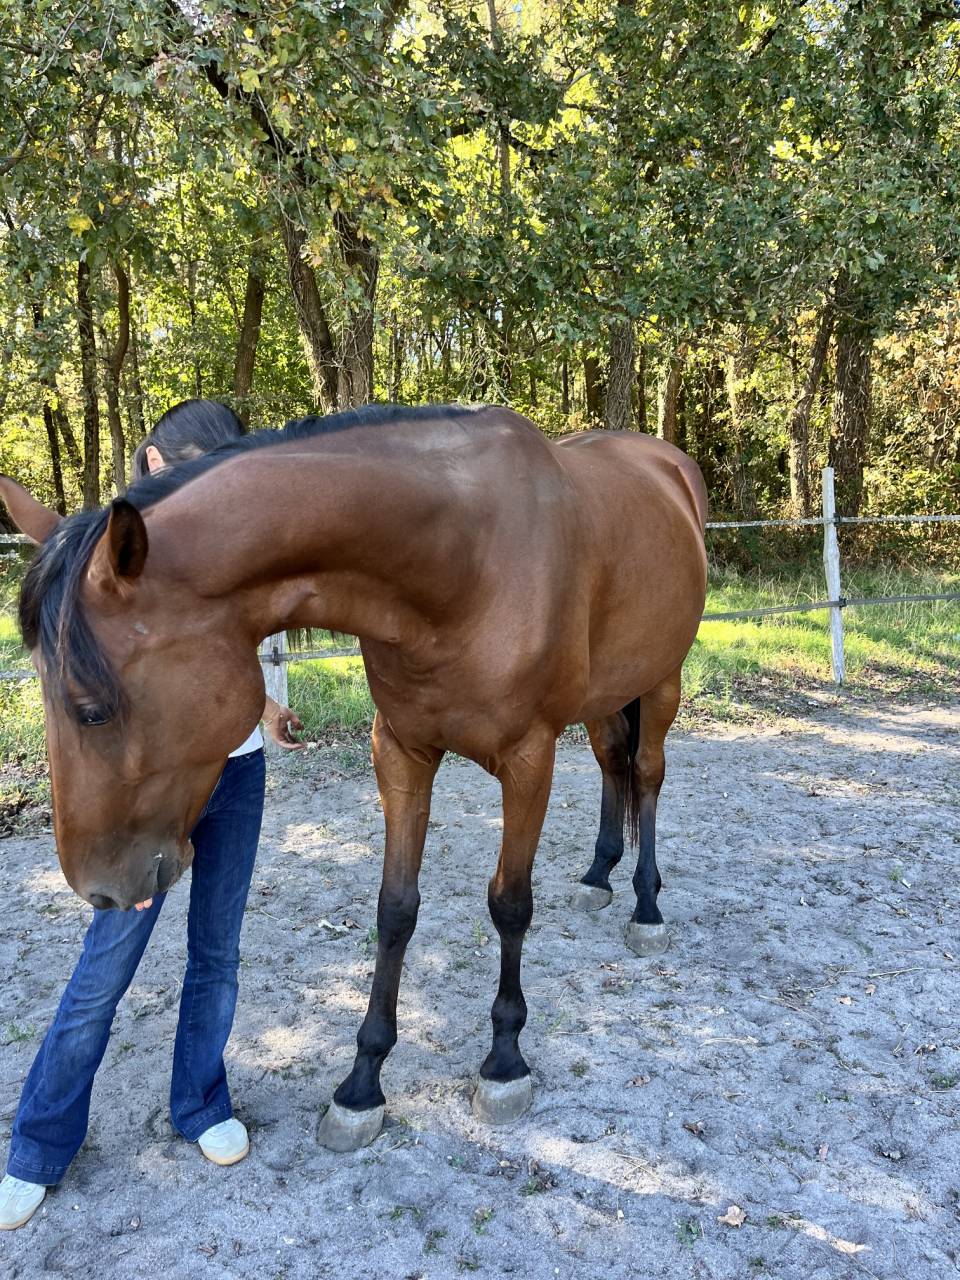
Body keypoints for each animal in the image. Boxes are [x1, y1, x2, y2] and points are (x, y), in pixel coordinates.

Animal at [1, 403, 707, 1148]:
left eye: (92, 709)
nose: (98, 889)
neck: (463, 560)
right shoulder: (399, 751)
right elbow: (395, 908)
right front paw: (363, 1082)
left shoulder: (527, 759)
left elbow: (510, 903)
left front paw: (504, 1061)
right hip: (606, 694)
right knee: (611, 760)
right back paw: (599, 873)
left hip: (663, 677)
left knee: (648, 773)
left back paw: (646, 903)